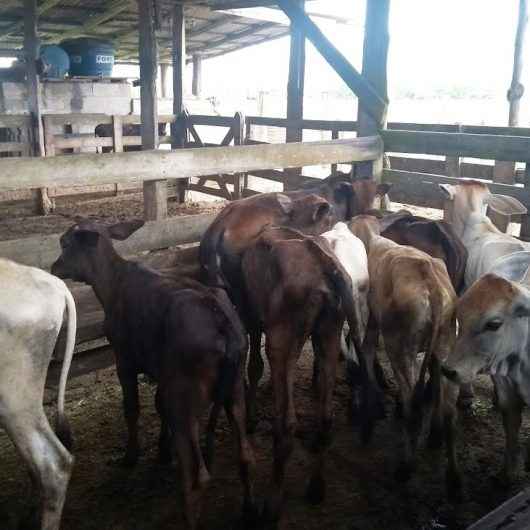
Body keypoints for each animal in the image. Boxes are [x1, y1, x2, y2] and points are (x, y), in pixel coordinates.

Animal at [51, 217, 256, 524]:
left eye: (65, 243)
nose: (54, 267)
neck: (112, 284)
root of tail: (225, 328)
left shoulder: (124, 359)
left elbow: (132, 408)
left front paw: (131, 455)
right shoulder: (161, 370)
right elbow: (158, 406)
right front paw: (162, 450)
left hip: (185, 396)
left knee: (198, 476)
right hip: (234, 389)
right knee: (244, 454)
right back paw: (249, 509)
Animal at [240, 224, 368, 520]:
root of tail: (326, 265)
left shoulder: (252, 318)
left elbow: (253, 365)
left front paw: (251, 419)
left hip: (283, 341)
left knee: (286, 425)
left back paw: (272, 503)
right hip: (329, 331)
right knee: (326, 418)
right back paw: (316, 488)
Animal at [348, 213, 456, 482]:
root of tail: (433, 288)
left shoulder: (372, 319)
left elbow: (366, 352)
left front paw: (368, 421)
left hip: (400, 346)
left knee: (412, 406)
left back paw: (405, 468)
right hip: (445, 345)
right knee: (449, 411)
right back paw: (452, 475)